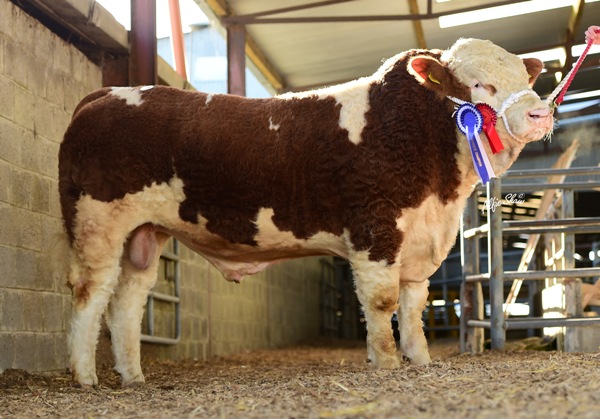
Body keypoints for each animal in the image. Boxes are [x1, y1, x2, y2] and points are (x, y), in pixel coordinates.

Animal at [57, 37, 552, 388]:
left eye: (526, 80)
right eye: (479, 84)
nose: (540, 114)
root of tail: (106, 93)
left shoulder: (419, 240)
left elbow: (413, 310)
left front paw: (420, 361)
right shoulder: (375, 227)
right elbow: (382, 302)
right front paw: (387, 365)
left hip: (145, 231)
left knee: (127, 301)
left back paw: (133, 377)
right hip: (97, 220)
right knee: (89, 291)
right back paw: (86, 377)